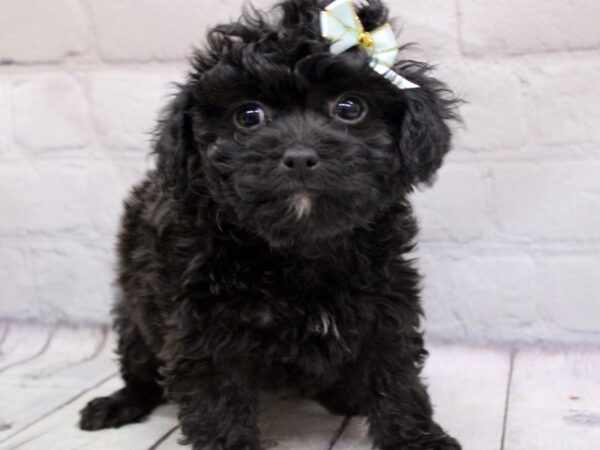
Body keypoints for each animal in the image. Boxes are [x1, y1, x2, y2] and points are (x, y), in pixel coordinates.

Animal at [79, 0, 462, 450]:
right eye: (249, 116)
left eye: (350, 108)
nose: (299, 157)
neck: (297, 247)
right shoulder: (201, 326)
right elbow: (218, 403)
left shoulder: (385, 304)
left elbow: (396, 379)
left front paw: (417, 439)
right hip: (134, 313)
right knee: (140, 369)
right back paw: (116, 404)